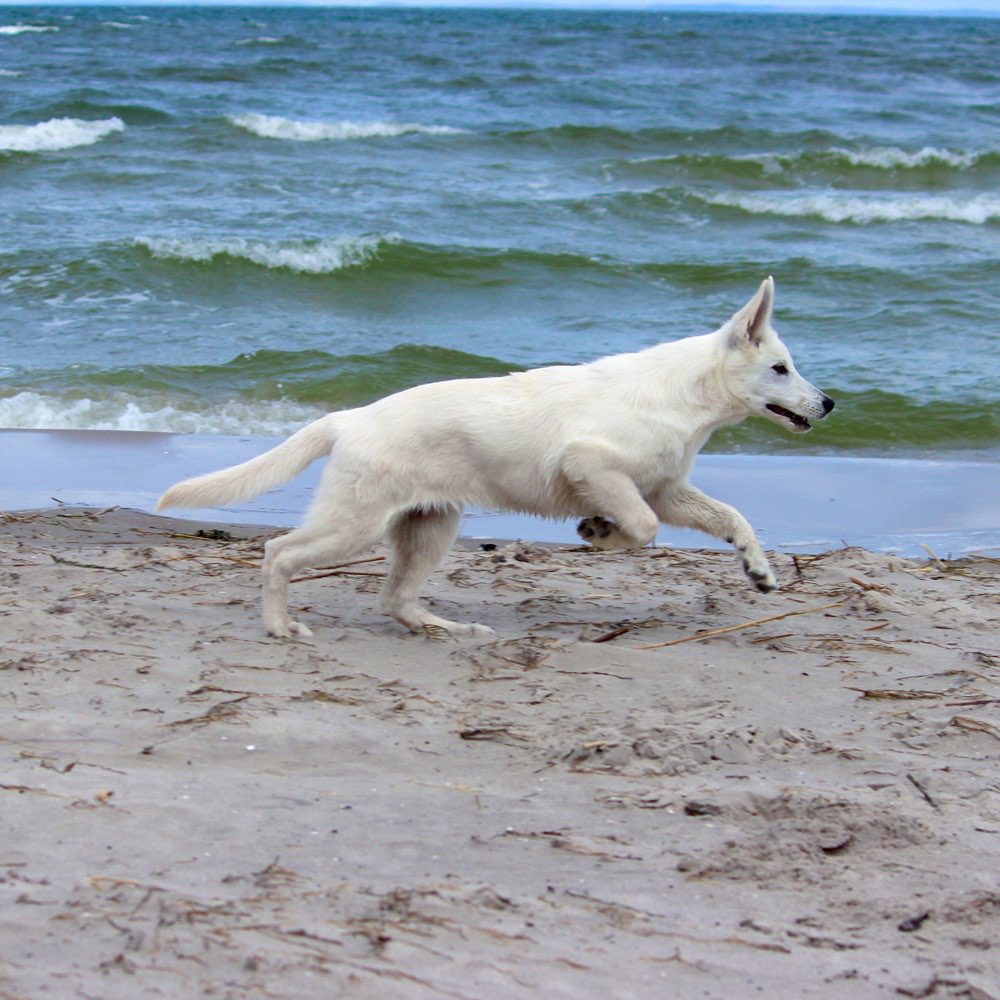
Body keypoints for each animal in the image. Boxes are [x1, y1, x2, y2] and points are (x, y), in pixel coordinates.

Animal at [158, 278, 836, 636]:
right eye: (780, 368)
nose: (828, 403)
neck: (685, 399)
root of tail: (351, 417)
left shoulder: (665, 489)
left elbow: (731, 517)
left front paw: (759, 570)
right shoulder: (591, 464)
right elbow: (641, 528)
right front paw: (599, 531)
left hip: (430, 526)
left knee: (393, 598)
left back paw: (445, 629)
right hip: (355, 523)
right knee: (278, 552)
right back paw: (280, 626)